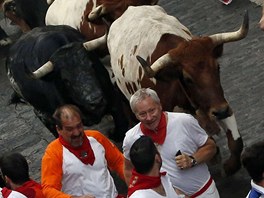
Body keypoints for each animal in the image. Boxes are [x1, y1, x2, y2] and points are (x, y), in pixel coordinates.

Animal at [86, 5, 248, 175]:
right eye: (188, 79)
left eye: (217, 68)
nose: (221, 111)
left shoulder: (217, 101)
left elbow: (236, 143)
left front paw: (228, 166)